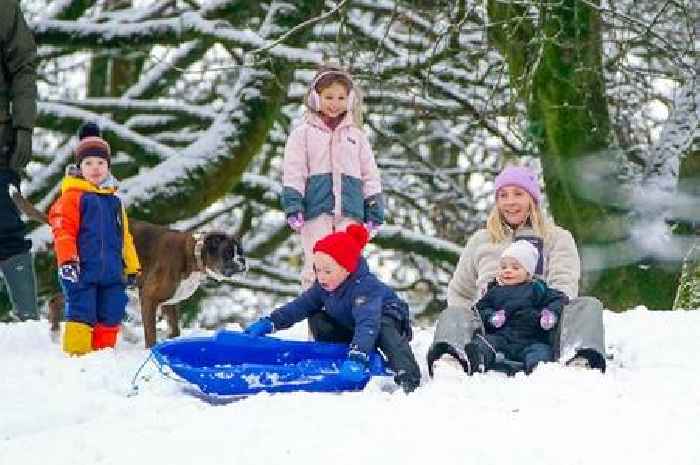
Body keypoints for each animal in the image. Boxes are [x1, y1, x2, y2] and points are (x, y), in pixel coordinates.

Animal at [13, 188, 246, 344]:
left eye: (241, 253)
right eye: (228, 253)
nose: (242, 264)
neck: (193, 254)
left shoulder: (169, 302)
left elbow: (174, 330)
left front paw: (167, 337)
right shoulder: (149, 297)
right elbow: (151, 332)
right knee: (57, 301)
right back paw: (54, 334)